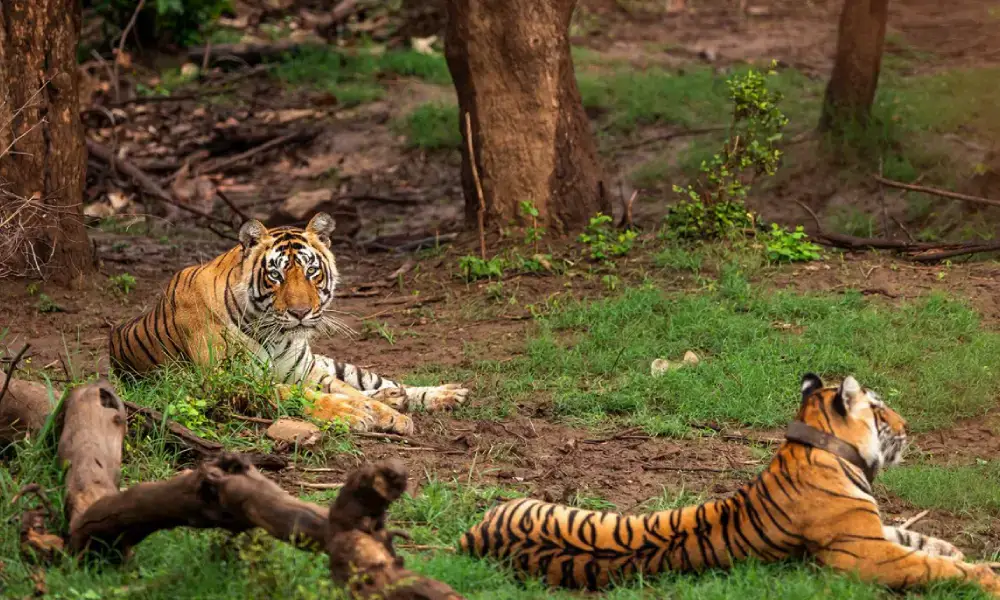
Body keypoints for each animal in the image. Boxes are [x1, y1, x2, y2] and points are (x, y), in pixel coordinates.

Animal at [108, 213, 468, 435]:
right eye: (276, 275)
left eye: (311, 271)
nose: (300, 312)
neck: (276, 335)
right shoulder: (233, 382)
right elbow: (308, 397)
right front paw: (353, 414)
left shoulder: (308, 372)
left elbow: (350, 392)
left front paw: (390, 415)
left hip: (330, 364)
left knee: (374, 381)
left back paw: (443, 394)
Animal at [459, 373, 1000, 596]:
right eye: (882, 410)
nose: (908, 426)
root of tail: (472, 537)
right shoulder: (864, 555)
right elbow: (929, 566)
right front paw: (985, 575)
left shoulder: (872, 530)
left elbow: (916, 537)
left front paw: (957, 549)